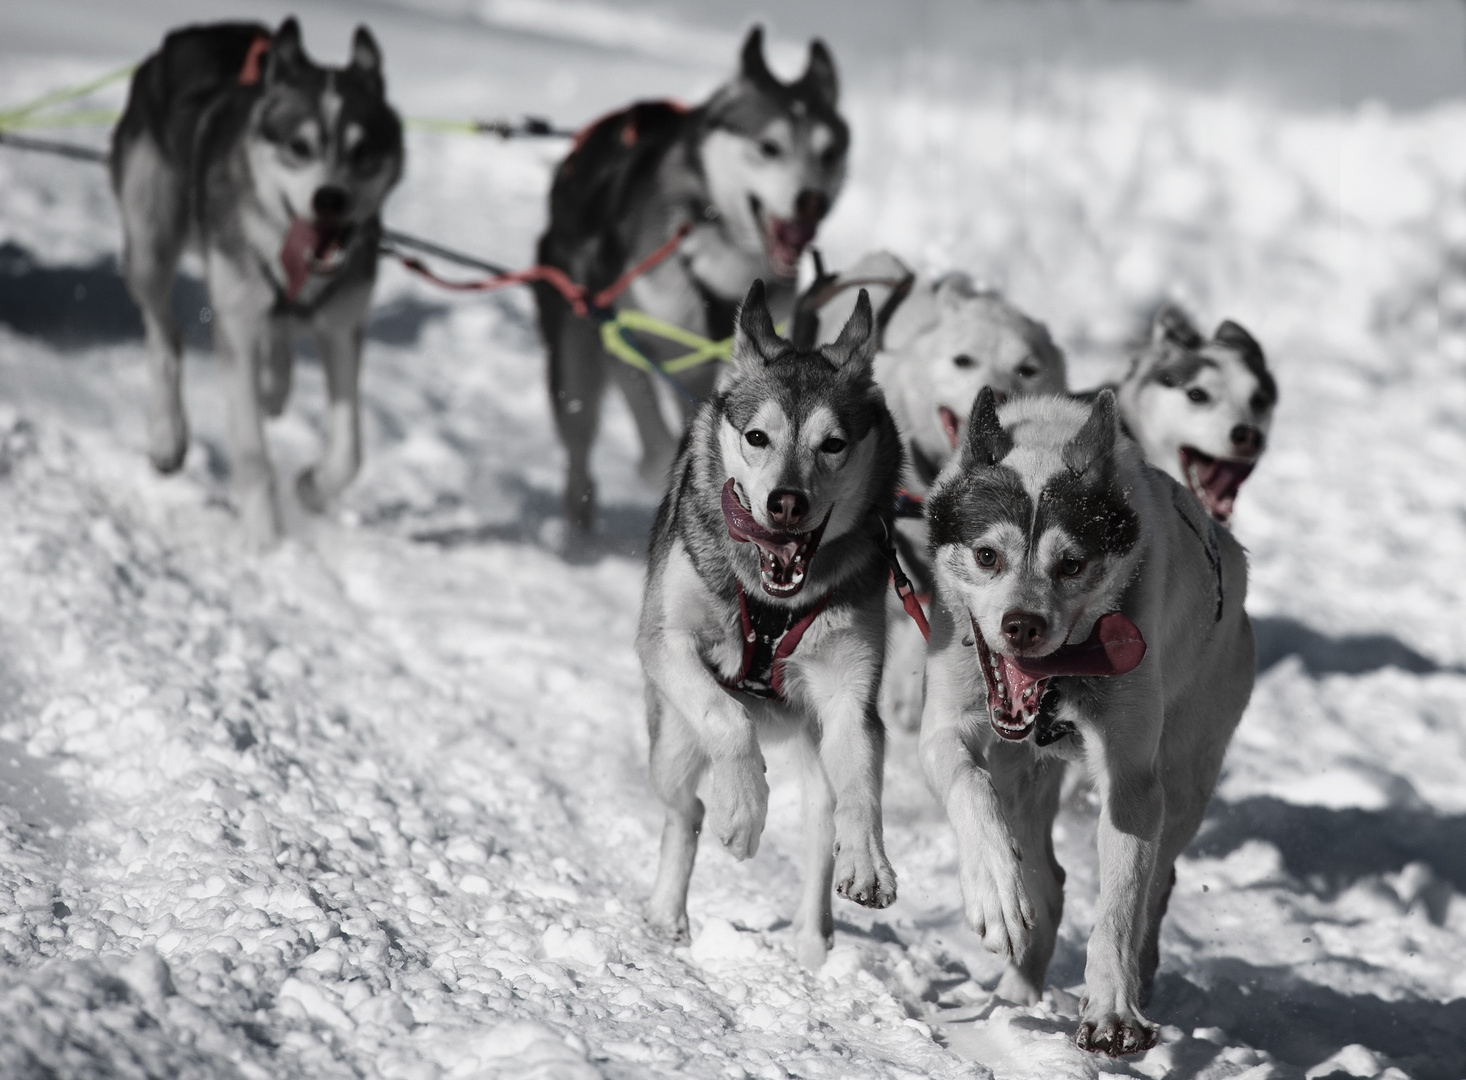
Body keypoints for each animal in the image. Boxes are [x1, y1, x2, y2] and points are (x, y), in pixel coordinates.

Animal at [111, 14, 404, 539]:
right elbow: (251, 453)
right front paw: (265, 539)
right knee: (165, 338)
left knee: (278, 342)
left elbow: (349, 453)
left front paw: (311, 487)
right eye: (299, 146)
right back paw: (167, 435)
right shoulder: (238, 327)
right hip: (150, 248)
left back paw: (275, 384)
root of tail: (184, 38)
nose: (330, 198)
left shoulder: (341, 328)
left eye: (363, 151)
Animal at [536, 25, 850, 530]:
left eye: (829, 152)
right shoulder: (627, 334)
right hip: (575, 356)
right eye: (769, 148)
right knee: (579, 440)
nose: (812, 202)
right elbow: (658, 445)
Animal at [645, 279, 903, 967]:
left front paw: (869, 860)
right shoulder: (666, 643)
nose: (788, 502)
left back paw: (814, 944)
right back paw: (668, 913)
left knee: (821, 826)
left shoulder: (849, 696)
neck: (773, 601)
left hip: (816, 750)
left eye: (833, 443)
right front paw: (744, 810)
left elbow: (862, 788)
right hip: (670, 744)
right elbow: (727, 719)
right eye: (757, 437)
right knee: (686, 809)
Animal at [920, 386, 1254, 1055]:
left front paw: (1112, 1011)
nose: (1023, 625)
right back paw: (1016, 988)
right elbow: (969, 787)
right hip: (1022, 775)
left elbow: (1120, 903)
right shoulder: (946, 728)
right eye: (986, 555)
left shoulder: (1131, 780)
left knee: (1154, 885)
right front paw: (994, 887)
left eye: (1071, 564)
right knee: (1045, 879)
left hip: (1186, 778)